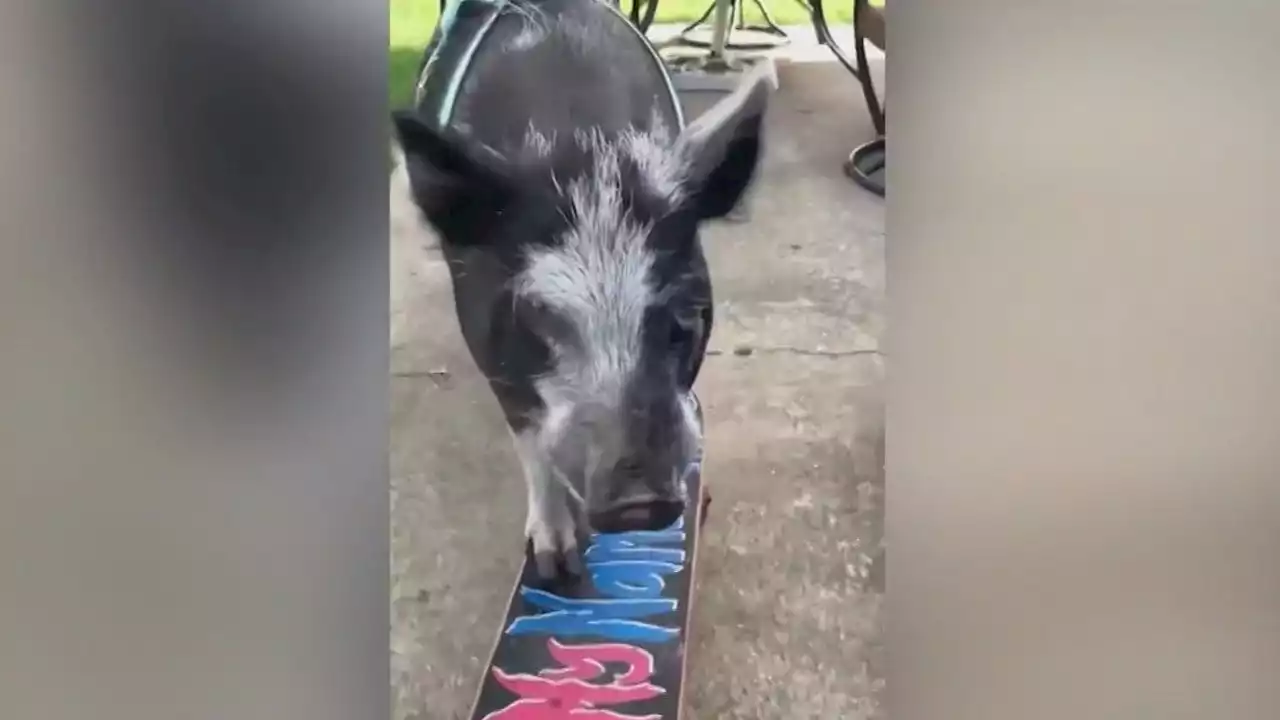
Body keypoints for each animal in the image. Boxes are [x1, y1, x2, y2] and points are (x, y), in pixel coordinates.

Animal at [389, 0, 768, 576]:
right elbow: (529, 438)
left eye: (682, 318)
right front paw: (555, 565)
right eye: (534, 317)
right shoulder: (486, 342)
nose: (638, 500)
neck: (582, 146)